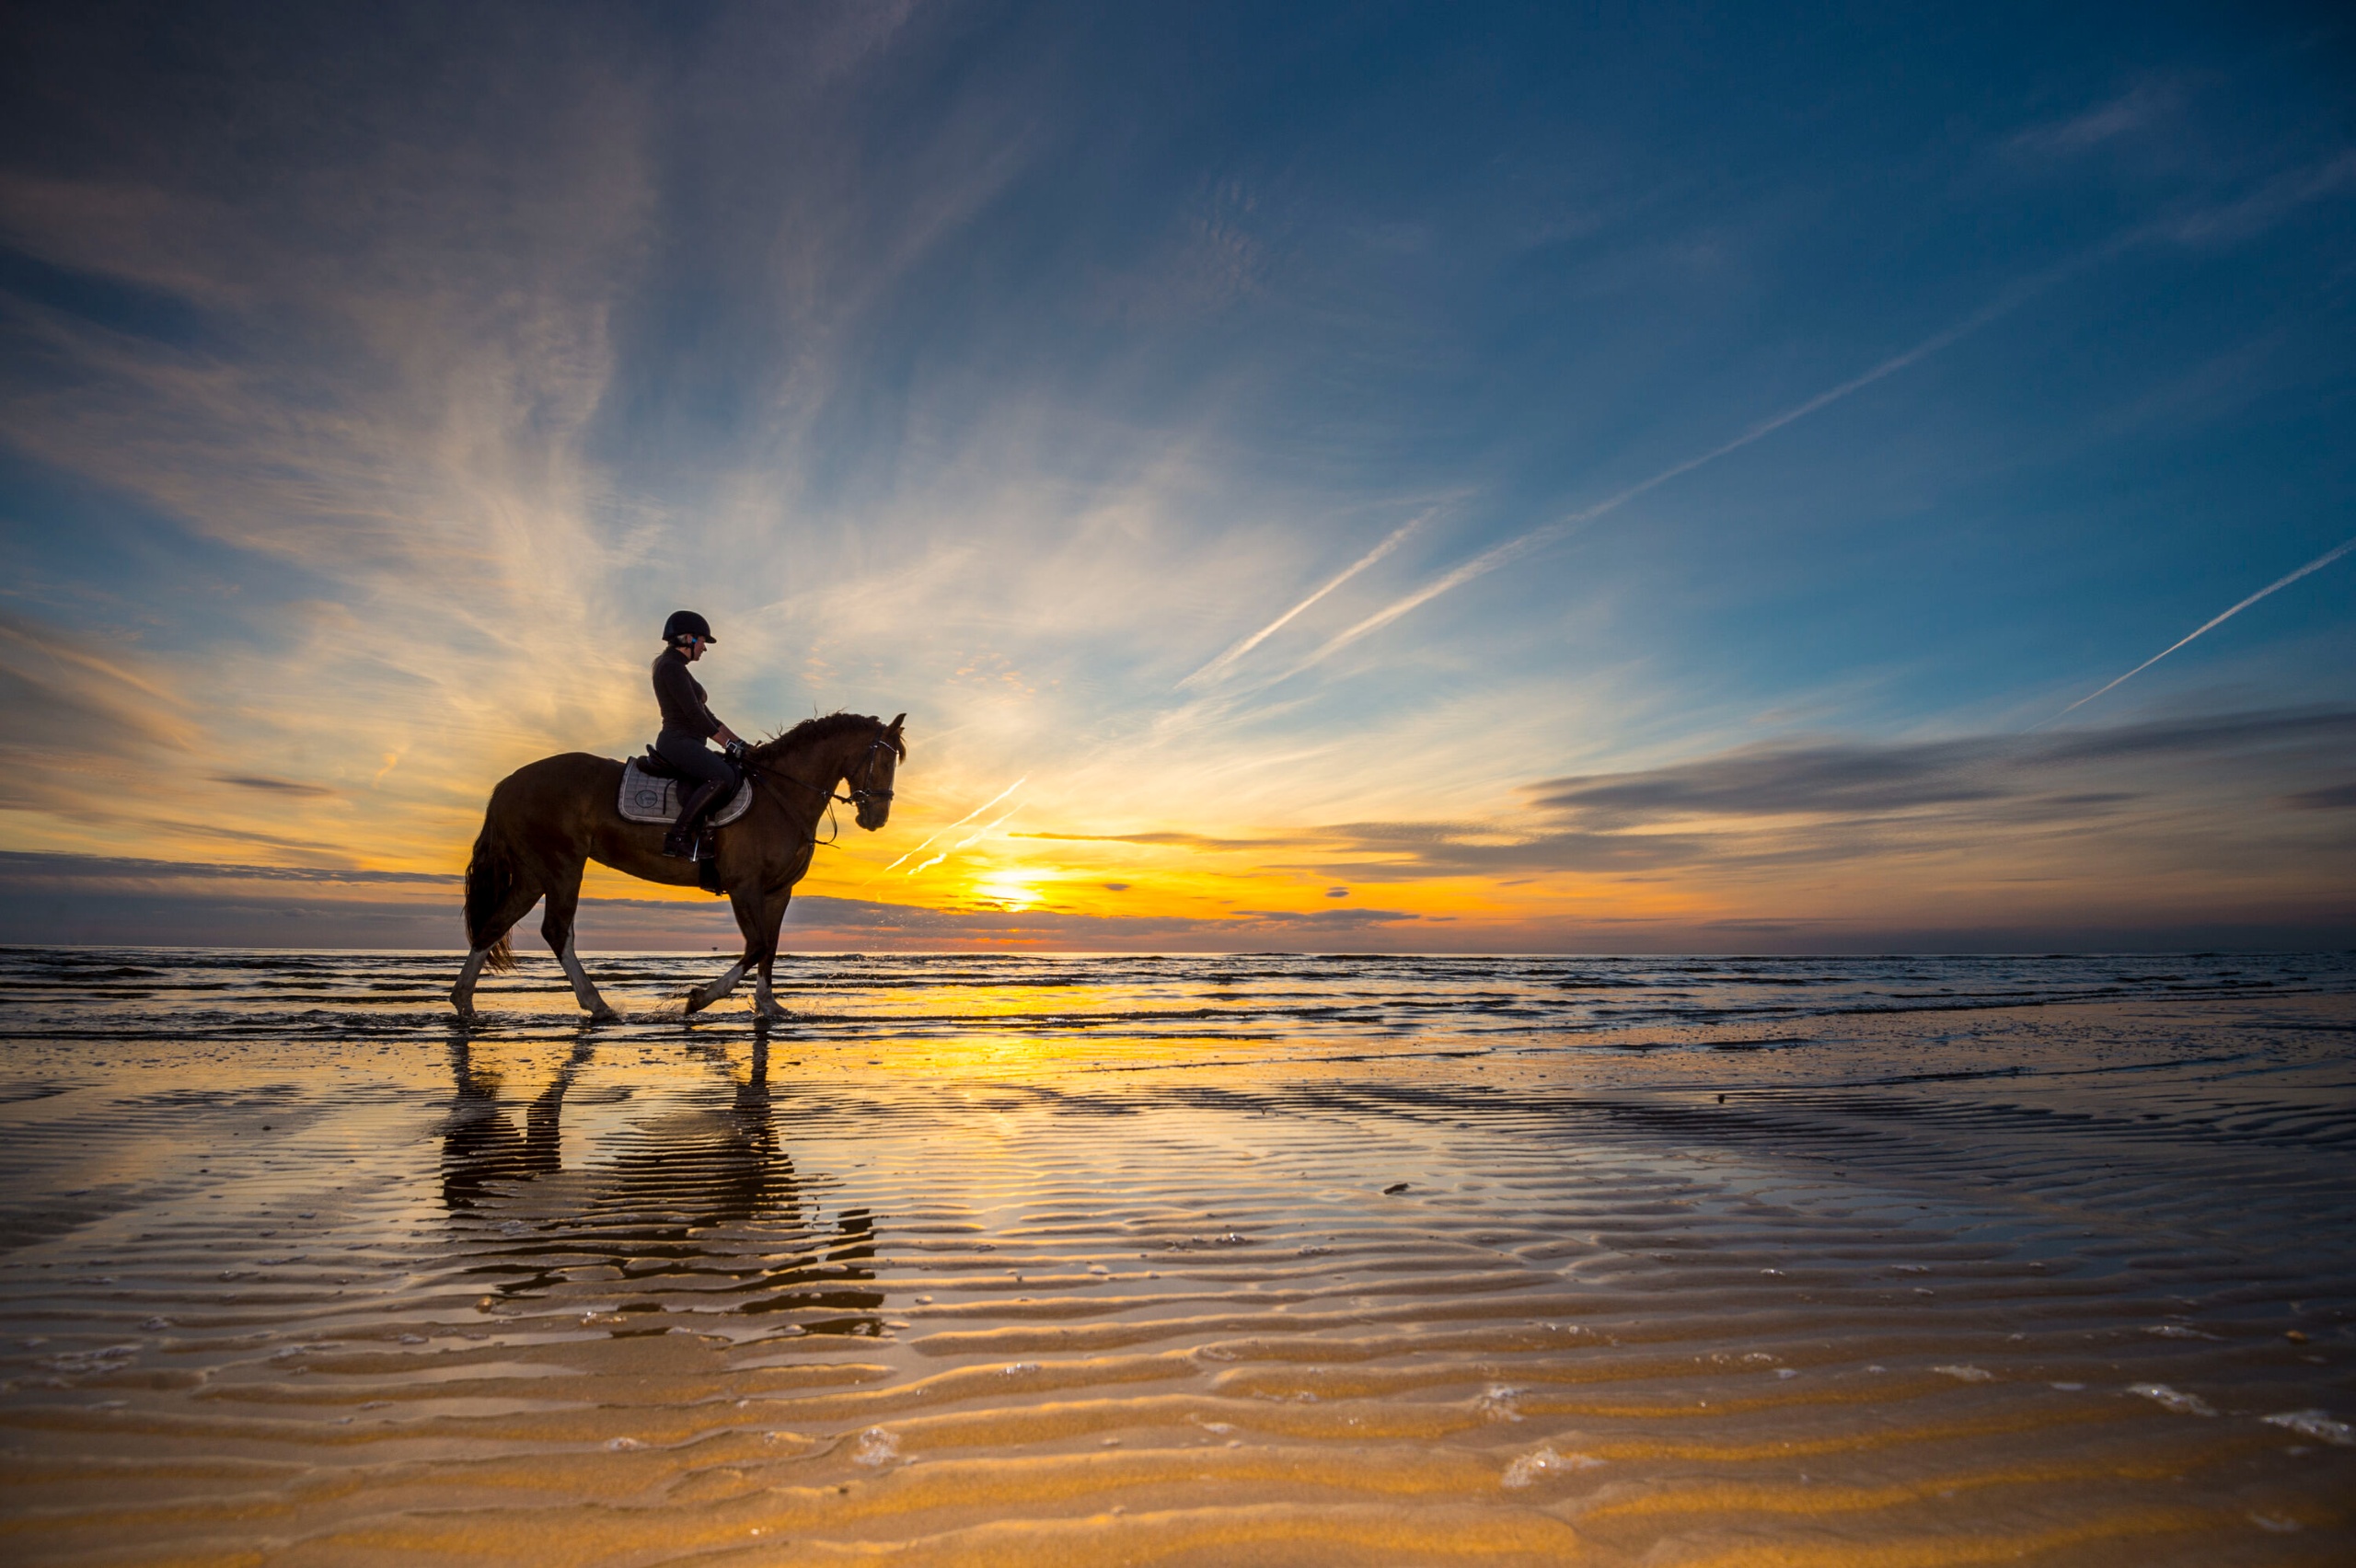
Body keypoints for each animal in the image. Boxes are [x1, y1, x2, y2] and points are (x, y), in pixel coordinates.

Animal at [450, 710, 905, 1023]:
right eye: (883, 761)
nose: (877, 817)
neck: (781, 794)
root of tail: (509, 783)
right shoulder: (745, 886)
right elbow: (756, 945)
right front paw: (698, 999)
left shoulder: (778, 891)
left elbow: (771, 948)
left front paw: (768, 1006)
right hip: (562, 866)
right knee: (556, 931)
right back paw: (597, 1004)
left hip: (533, 874)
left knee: (495, 924)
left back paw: (464, 1002)